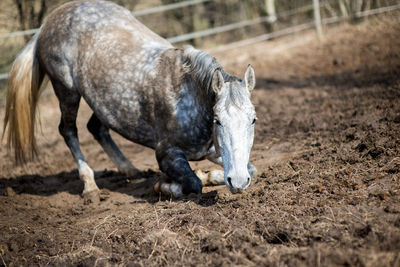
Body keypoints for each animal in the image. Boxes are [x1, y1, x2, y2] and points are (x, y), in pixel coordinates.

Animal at [3, 0, 258, 201]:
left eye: (253, 120)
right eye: (217, 120)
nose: (237, 181)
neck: (189, 98)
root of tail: (47, 22)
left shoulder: (215, 153)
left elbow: (251, 169)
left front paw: (211, 176)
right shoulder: (166, 154)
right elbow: (192, 184)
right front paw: (167, 185)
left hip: (103, 99)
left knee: (96, 127)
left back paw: (130, 171)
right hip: (66, 90)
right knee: (68, 130)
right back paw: (90, 187)